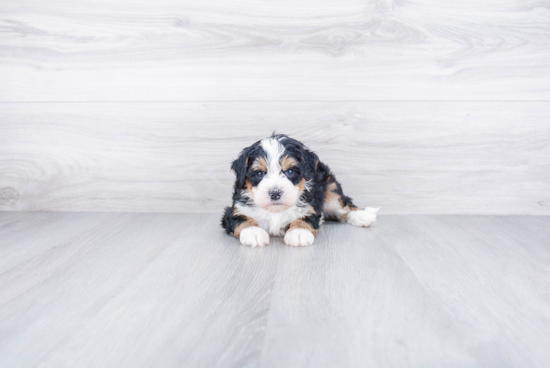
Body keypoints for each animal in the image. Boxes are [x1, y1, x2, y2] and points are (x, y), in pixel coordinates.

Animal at [220, 133, 380, 247]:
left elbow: (305, 218)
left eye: (290, 171)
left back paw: (362, 216)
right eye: (259, 173)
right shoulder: (234, 210)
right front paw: (253, 232)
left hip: (329, 188)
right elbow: (241, 219)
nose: (275, 193)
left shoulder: (311, 206)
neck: (276, 210)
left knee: (342, 206)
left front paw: (298, 232)